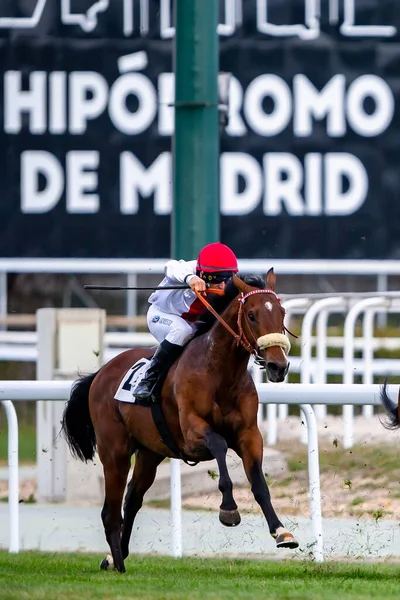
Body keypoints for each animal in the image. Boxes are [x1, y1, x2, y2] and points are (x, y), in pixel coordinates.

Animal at [61, 270, 296, 572]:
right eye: (252, 314)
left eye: (282, 312)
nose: (279, 366)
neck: (219, 371)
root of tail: (101, 373)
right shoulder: (192, 434)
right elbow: (219, 445)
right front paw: (229, 509)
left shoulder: (249, 435)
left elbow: (259, 485)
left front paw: (282, 532)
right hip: (114, 452)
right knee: (110, 513)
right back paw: (119, 564)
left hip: (149, 453)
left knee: (132, 500)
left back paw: (116, 556)